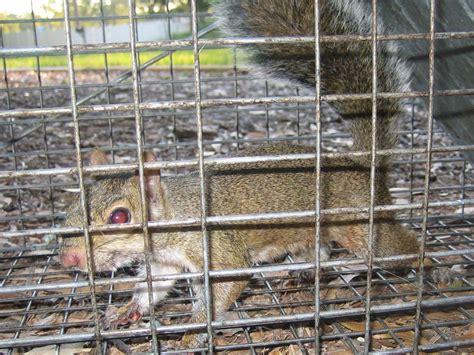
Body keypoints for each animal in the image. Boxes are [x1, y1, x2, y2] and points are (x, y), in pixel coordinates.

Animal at [57, 0, 438, 350]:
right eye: (72, 208)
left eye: (120, 216)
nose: (68, 259)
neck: (178, 215)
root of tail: (362, 163)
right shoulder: (165, 263)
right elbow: (154, 289)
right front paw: (127, 310)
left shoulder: (218, 250)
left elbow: (222, 290)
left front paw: (192, 333)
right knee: (321, 252)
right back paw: (308, 273)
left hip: (360, 225)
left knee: (397, 250)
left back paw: (408, 270)